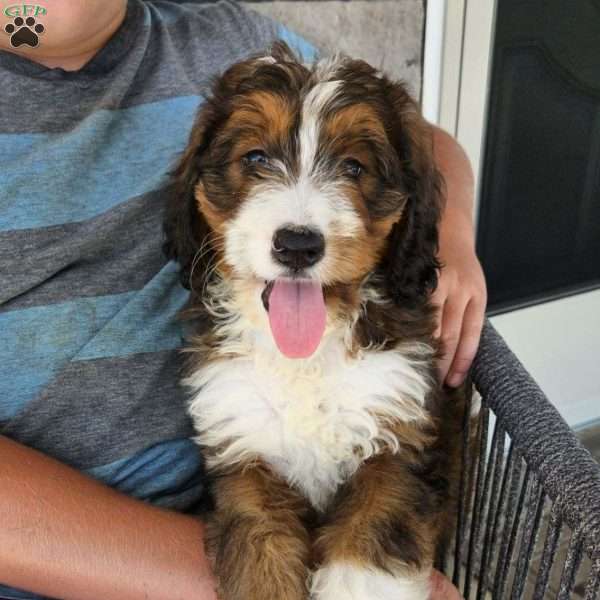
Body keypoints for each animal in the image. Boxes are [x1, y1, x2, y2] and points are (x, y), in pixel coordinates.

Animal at [165, 42, 468, 600]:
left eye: (353, 166)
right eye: (255, 158)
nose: (298, 244)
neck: (306, 355)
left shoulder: (400, 446)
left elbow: (367, 549)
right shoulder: (246, 459)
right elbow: (263, 560)